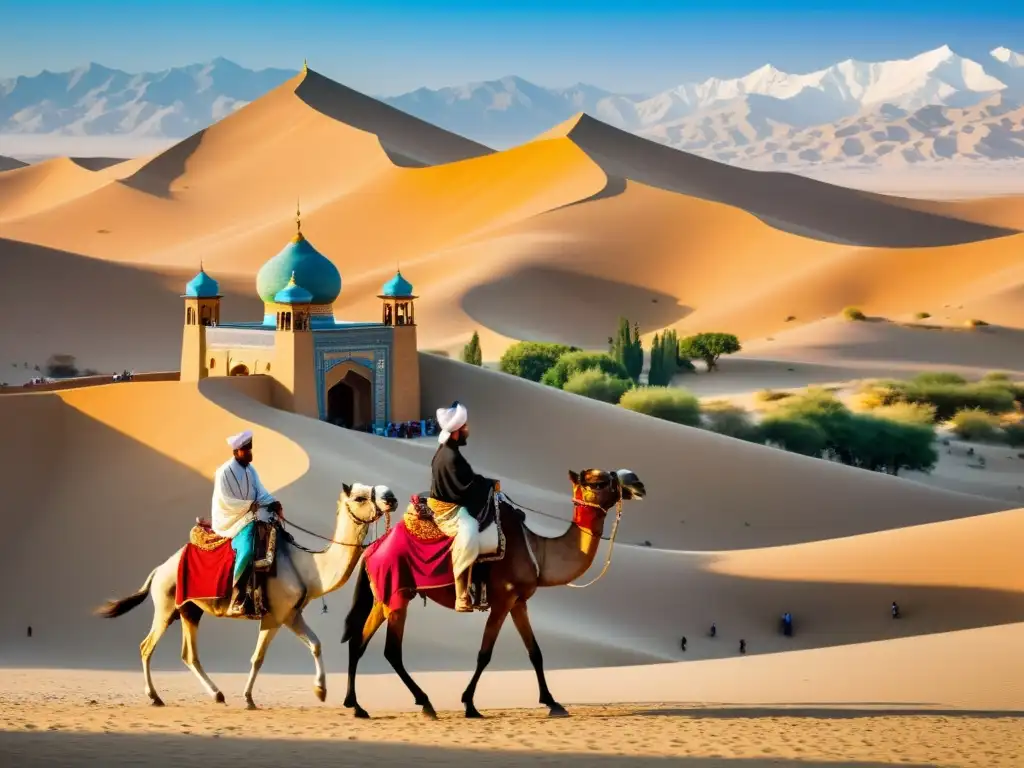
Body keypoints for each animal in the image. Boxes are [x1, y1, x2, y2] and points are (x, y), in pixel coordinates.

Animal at [344, 468, 647, 720]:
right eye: (598, 481)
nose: (637, 481)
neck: (536, 550)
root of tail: (371, 549)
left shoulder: (519, 602)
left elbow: (535, 652)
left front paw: (553, 703)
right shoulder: (502, 600)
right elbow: (484, 653)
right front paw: (469, 704)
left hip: (382, 598)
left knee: (358, 641)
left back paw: (357, 706)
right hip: (398, 596)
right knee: (391, 650)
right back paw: (425, 704)